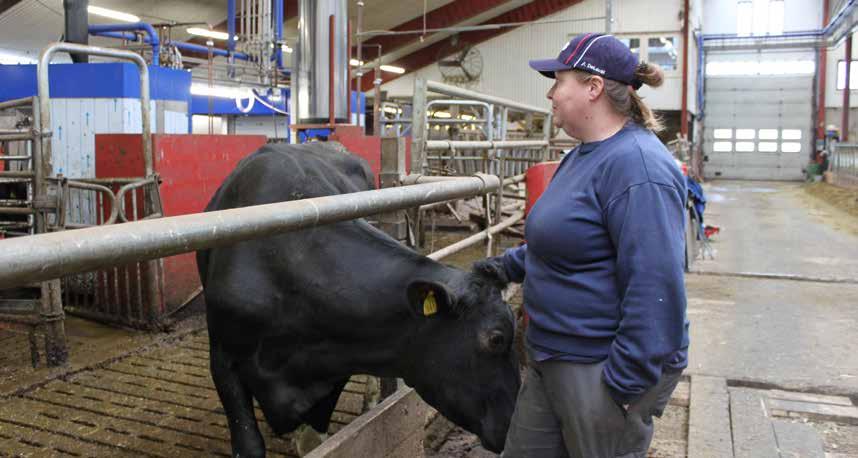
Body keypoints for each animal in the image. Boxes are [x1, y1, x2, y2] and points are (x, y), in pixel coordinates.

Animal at [197, 141, 520, 456]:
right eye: (496, 339)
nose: (513, 427)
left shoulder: (336, 359)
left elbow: (315, 437)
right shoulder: (223, 359)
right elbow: (249, 442)